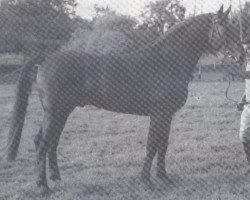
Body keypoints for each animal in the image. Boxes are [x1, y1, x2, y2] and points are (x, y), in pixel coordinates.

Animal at [5, 5, 246, 194]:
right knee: (42, 143)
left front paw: (164, 178)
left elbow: (162, 144)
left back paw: (56, 178)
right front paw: (146, 181)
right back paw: (43, 187)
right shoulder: (159, 114)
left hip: (63, 112)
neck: (167, 60)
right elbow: (152, 145)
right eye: (224, 28)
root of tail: (47, 58)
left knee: (51, 142)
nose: (242, 56)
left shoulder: (166, 116)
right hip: (55, 112)